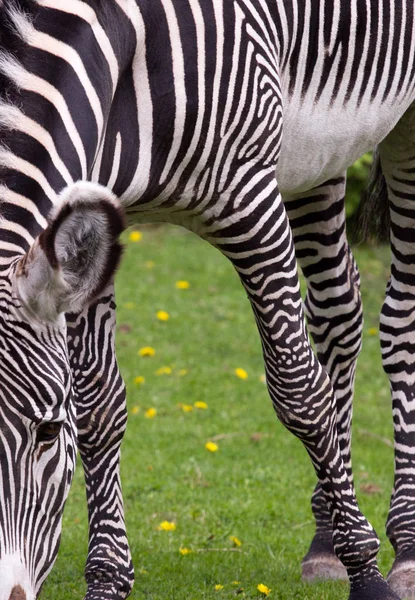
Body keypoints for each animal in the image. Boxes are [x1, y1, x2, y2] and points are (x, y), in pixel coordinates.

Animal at [0, 1, 415, 600]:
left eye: (49, 432)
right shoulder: (88, 221)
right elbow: (99, 405)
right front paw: (107, 577)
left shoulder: (250, 202)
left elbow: (299, 392)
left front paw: (368, 575)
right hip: (316, 155)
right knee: (339, 307)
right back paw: (324, 541)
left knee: (399, 318)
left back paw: (404, 545)